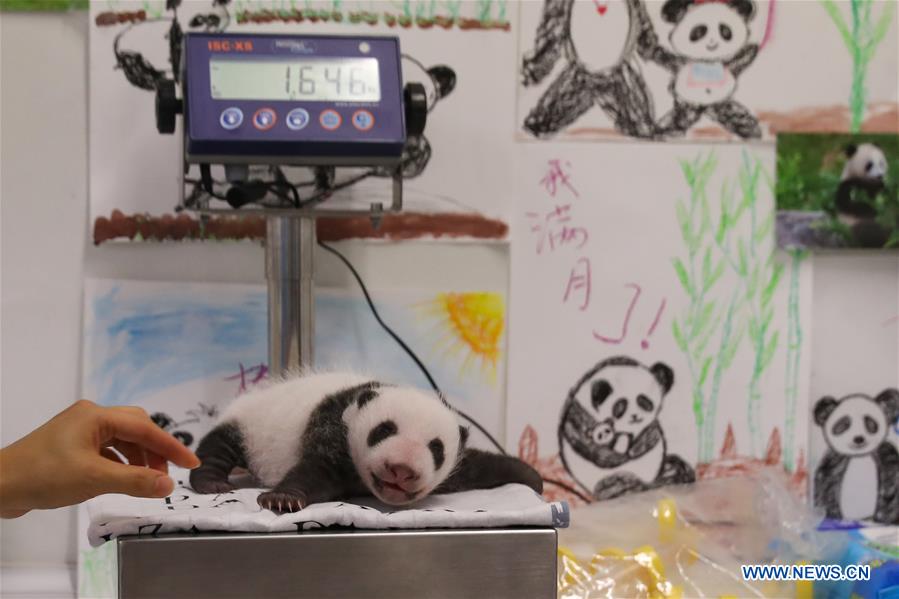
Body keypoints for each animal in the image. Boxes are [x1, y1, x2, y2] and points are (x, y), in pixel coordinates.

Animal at [189, 371, 542, 512]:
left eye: (436, 449)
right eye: (383, 430)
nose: (401, 470)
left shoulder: (458, 467)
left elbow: (483, 465)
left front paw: (533, 478)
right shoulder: (335, 430)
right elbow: (313, 472)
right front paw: (283, 498)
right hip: (250, 422)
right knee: (219, 445)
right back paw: (211, 481)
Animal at [558, 356, 695, 501]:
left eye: (644, 401)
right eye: (621, 405)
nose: (635, 416)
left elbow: (651, 435)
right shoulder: (576, 417)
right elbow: (591, 448)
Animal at [634, 0, 761, 138]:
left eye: (725, 30)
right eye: (699, 31)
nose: (712, 42)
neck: (707, 61)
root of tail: (705, 107)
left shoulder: (730, 65)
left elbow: (742, 57)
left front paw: (752, 49)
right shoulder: (677, 63)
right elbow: (652, 50)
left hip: (720, 105)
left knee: (738, 117)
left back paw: (750, 129)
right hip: (687, 107)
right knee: (676, 122)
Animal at [813, 390, 899, 524]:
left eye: (870, 423)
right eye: (844, 424)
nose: (859, 439)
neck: (859, 455)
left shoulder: (887, 455)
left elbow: (891, 484)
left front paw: (884, 517)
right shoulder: (834, 460)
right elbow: (826, 483)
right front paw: (830, 515)